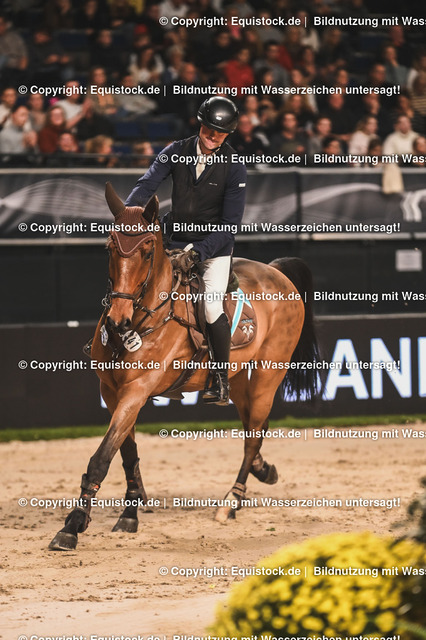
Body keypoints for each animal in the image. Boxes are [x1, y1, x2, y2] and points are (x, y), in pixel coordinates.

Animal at [49, 183, 320, 551]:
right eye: (109, 247)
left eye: (147, 250)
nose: (117, 321)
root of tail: (275, 271)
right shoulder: (113, 392)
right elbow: (126, 453)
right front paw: (130, 513)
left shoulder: (137, 390)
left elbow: (102, 457)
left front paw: (72, 526)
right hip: (237, 381)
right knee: (255, 426)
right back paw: (263, 471)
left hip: (268, 373)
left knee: (252, 436)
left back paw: (231, 501)